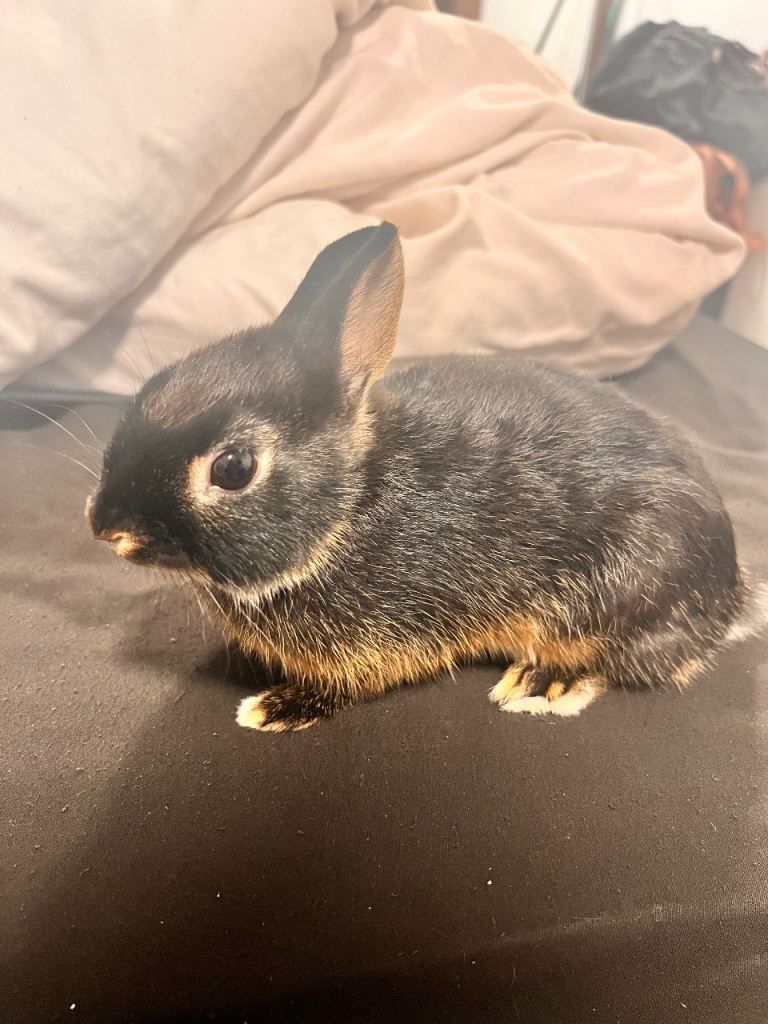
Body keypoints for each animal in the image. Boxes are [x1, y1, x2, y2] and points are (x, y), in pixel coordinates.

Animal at [88, 222, 750, 732]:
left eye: (233, 468)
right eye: (153, 385)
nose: (106, 528)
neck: (349, 505)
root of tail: (731, 595)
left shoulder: (385, 641)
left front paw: (275, 708)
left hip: (616, 592)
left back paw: (538, 682)